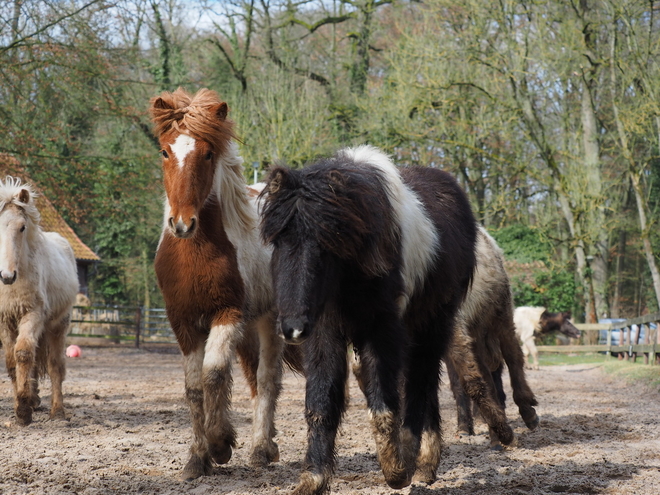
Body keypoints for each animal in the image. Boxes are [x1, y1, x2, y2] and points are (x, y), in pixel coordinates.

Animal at [0, 176, 78, 424]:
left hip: (58, 325)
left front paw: (23, 411)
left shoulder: (32, 314)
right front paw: (23, 403)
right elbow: (11, 362)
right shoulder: (4, 320)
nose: (7, 276)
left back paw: (58, 411)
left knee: (55, 366)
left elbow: (23, 354)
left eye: (22, 227)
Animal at [260, 145, 476, 494]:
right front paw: (313, 478)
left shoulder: (382, 329)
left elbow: (384, 405)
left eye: (326, 246)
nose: (292, 329)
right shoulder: (324, 333)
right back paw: (423, 466)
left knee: (421, 383)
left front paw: (396, 470)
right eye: (279, 240)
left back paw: (415, 462)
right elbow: (320, 404)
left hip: (433, 323)